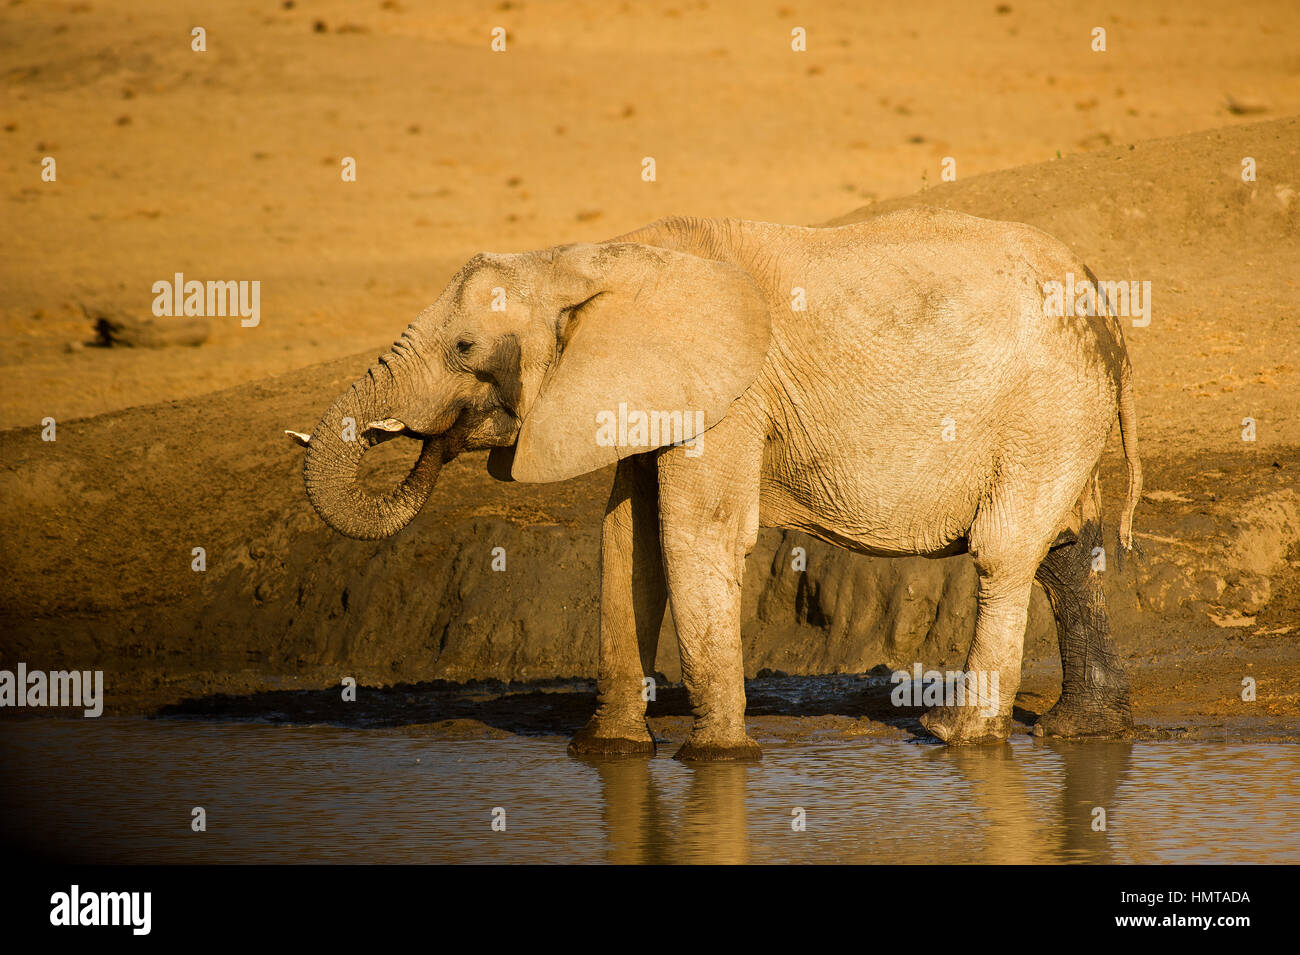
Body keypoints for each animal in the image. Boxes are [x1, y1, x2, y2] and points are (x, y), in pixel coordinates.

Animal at [289, 207, 1144, 764]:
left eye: (466, 348)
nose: (432, 441)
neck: (592, 257)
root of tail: (1106, 308)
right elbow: (628, 543)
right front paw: (607, 750)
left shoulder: (733, 396)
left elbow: (695, 533)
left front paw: (719, 760)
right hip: (1066, 410)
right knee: (1068, 551)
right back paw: (1080, 734)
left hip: (1046, 407)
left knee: (1005, 552)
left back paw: (956, 739)